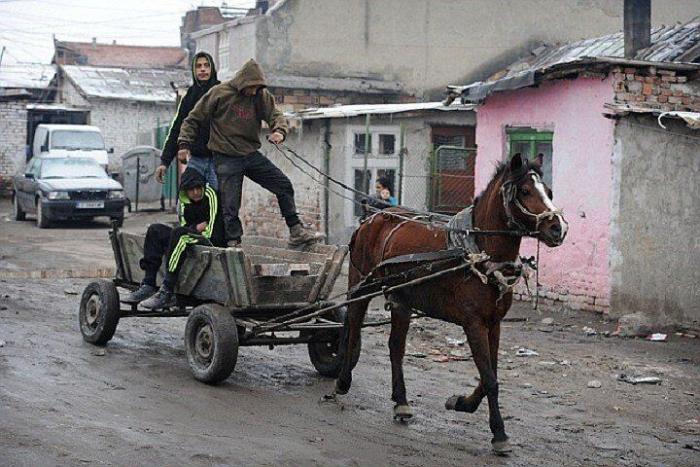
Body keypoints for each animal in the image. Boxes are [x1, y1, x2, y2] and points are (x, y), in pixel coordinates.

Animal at [334, 155, 568, 456]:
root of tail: (371, 217)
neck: (478, 251)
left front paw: (461, 403)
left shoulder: (494, 324)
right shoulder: (473, 324)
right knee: (353, 324)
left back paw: (401, 401)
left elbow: (489, 376)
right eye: (525, 191)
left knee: (395, 347)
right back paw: (342, 380)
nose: (558, 228)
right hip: (361, 284)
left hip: (401, 300)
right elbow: (490, 379)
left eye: (548, 191)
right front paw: (499, 433)